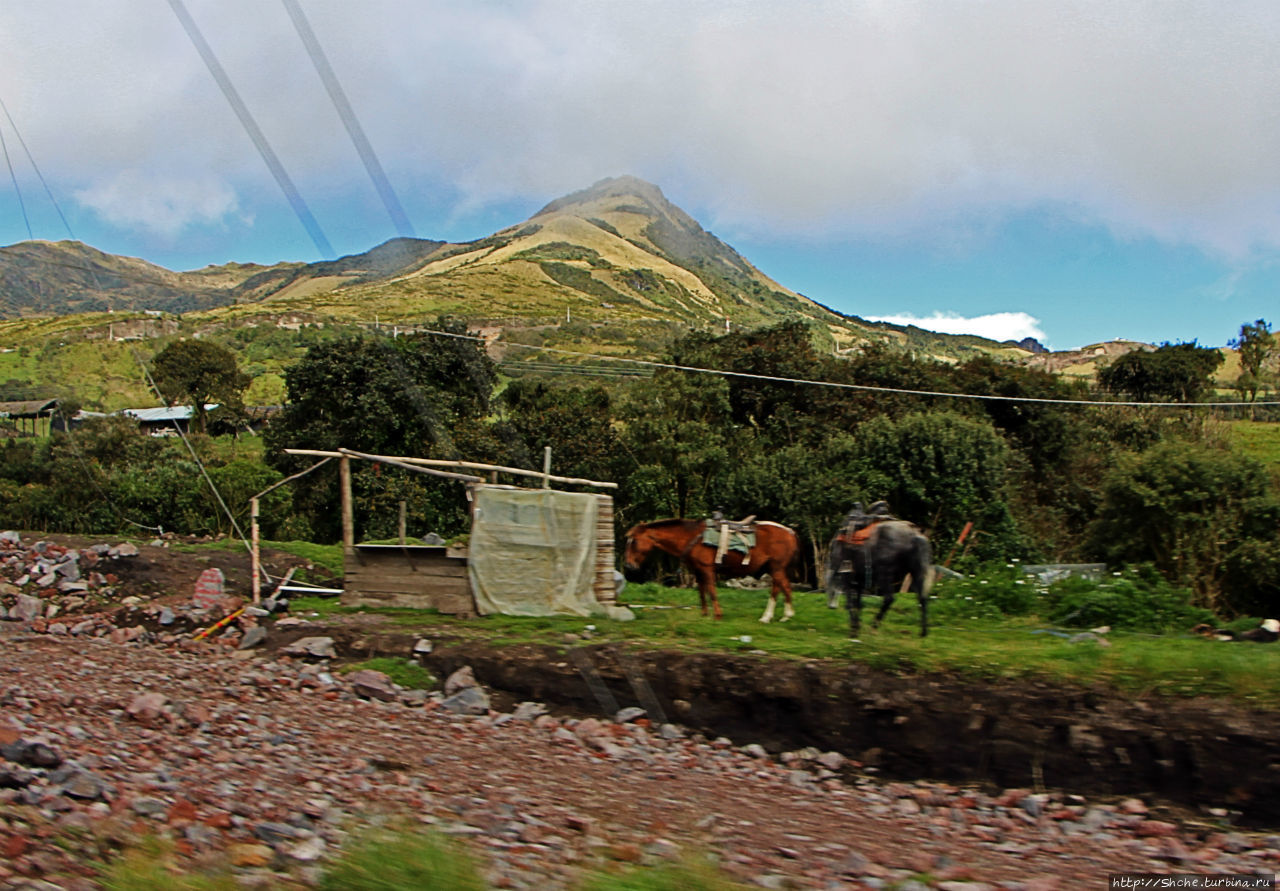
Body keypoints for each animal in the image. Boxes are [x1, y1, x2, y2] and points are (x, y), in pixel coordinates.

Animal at [622, 519, 793, 622]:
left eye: (634, 541)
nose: (628, 565)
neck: (692, 538)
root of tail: (789, 532)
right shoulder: (698, 571)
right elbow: (702, 592)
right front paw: (704, 614)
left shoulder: (707, 569)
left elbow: (711, 591)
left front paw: (717, 615)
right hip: (773, 568)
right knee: (778, 588)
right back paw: (773, 616)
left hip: (777, 567)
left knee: (784, 586)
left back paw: (783, 616)